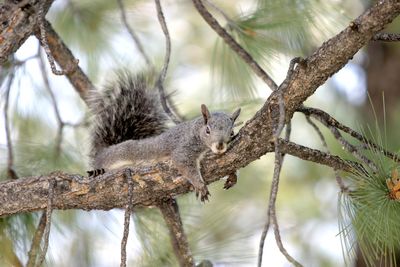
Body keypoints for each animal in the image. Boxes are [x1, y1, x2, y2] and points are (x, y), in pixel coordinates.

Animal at [87, 72, 241, 202]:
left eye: (232, 132)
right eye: (208, 130)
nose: (220, 146)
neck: (197, 131)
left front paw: (232, 176)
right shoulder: (184, 148)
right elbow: (184, 164)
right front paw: (199, 185)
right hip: (119, 153)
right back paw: (98, 170)